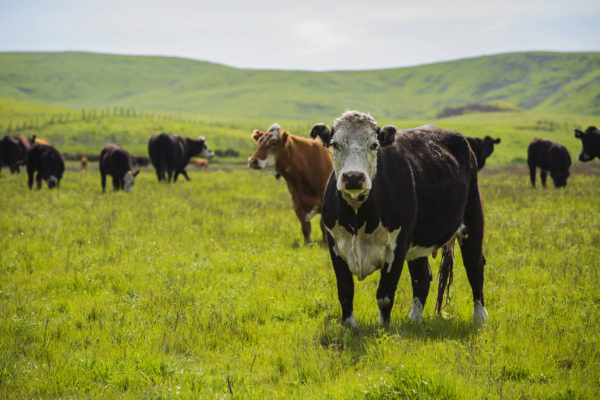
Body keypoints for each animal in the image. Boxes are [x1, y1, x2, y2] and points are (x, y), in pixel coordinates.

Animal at [310, 110, 488, 328]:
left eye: (374, 145)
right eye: (335, 144)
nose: (353, 177)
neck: (358, 217)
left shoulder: (398, 246)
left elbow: (384, 295)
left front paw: (384, 329)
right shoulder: (335, 245)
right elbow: (345, 291)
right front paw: (349, 327)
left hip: (472, 221)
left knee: (474, 267)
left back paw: (479, 318)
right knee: (422, 276)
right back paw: (415, 320)